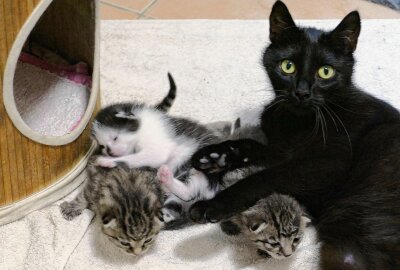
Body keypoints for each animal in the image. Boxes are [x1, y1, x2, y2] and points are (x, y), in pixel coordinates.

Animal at [189, 1, 400, 268]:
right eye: (287, 66)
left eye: (326, 72)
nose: (302, 92)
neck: (296, 122)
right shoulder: (282, 150)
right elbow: (251, 145)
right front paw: (214, 156)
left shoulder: (325, 166)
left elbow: (265, 176)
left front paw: (213, 204)